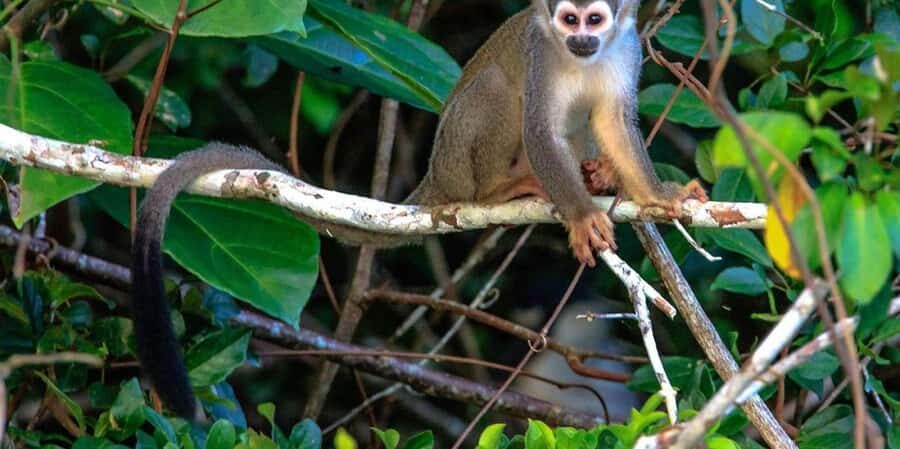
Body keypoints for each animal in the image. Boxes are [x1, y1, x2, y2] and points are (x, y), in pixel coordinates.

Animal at [131, 0, 706, 417]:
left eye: (594, 21)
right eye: (569, 20)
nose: (580, 40)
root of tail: (434, 174)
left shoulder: (626, 48)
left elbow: (613, 119)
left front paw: (657, 194)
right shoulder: (541, 53)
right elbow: (539, 129)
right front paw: (582, 215)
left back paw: (596, 175)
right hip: (455, 157)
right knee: (501, 89)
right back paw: (499, 190)